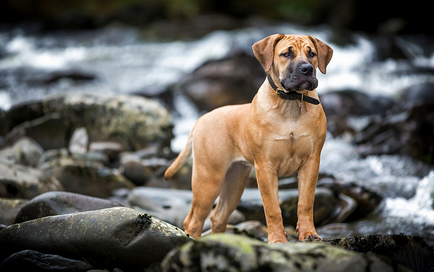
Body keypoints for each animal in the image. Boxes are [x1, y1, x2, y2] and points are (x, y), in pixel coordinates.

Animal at [165, 33, 332, 242]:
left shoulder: (311, 163)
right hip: (208, 179)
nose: (307, 69)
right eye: (286, 54)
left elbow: (306, 202)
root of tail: (201, 118)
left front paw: (309, 234)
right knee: (193, 221)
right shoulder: (265, 168)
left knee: (218, 216)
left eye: (312, 54)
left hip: (234, 181)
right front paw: (278, 240)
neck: (291, 103)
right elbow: (272, 208)